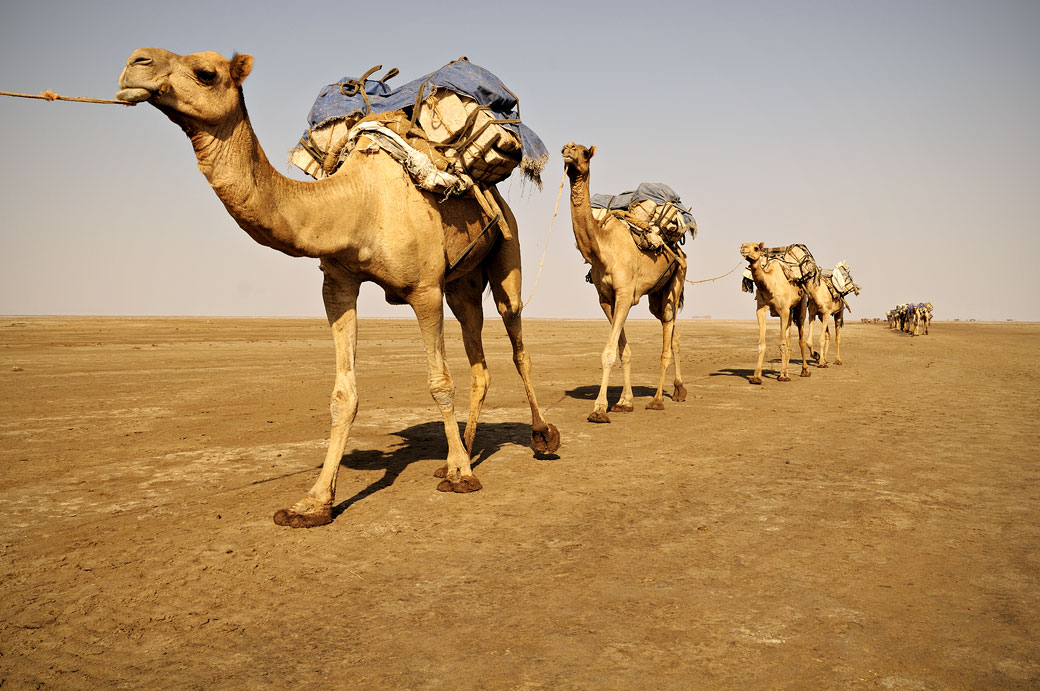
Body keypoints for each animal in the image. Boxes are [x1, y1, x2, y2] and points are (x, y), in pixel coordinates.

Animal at [115, 48, 561, 526]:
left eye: (206, 73)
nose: (135, 62)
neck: (357, 204)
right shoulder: (339, 285)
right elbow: (343, 394)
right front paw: (312, 503)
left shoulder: (425, 289)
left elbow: (439, 382)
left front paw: (462, 476)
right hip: (461, 284)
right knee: (479, 361)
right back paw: (460, 454)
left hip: (506, 253)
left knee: (517, 340)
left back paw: (538, 437)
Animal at [740, 242, 811, 382]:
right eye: (743, 244)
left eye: (756, 248)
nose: (743, 249)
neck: (771, 285)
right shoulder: (761, 310)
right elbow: (762, 344)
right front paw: (756, 376)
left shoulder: (783, 310)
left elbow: (782, 344)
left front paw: (783, 376)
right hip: (789, 312)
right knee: (789, 340)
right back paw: (785, 372)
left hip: (800, 303)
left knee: (800, 337)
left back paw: (804, 371)